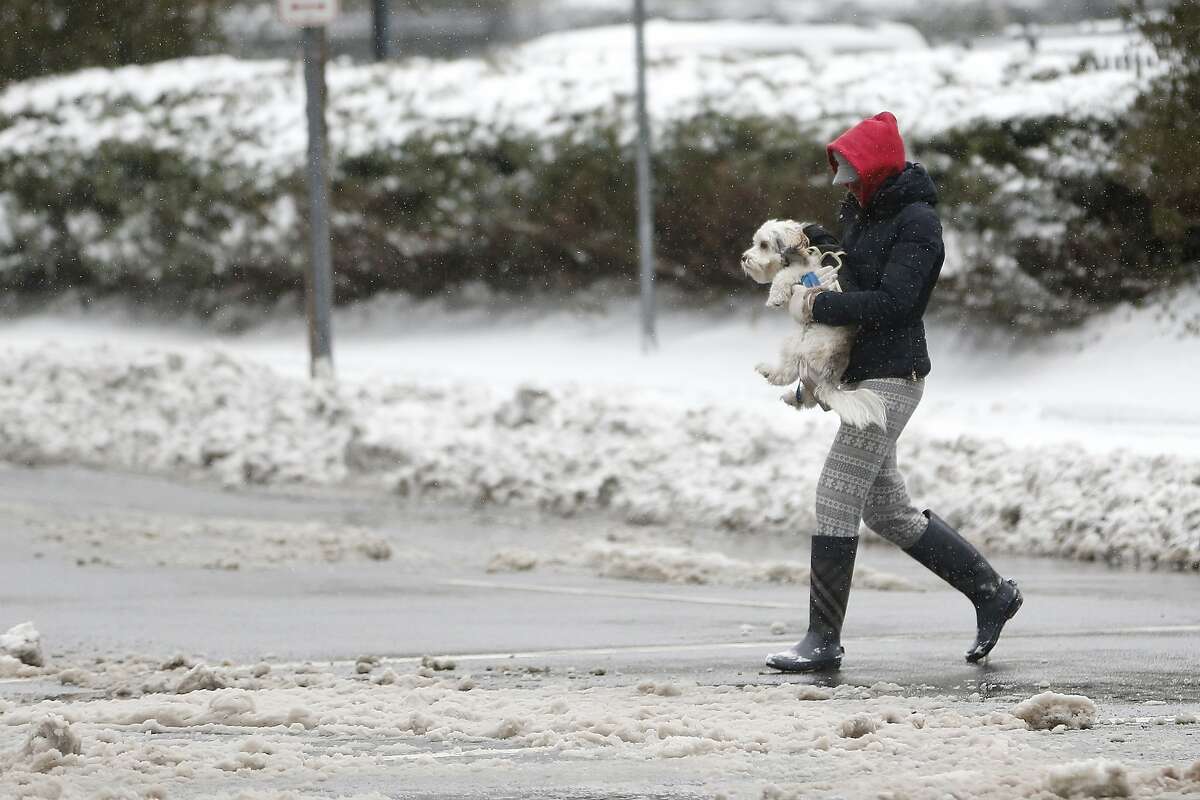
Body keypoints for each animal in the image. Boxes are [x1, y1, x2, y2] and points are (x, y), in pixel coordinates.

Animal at [734, 219, 888, 431]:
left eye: (764, 245)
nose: (744, 258)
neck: (805, 243)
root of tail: (830, 372)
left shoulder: (805, 270)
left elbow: (784, 275)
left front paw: (775, 297)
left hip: (796, 343)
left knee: (788, 374)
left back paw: (769, 371)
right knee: (813, 396)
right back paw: (792, 398)